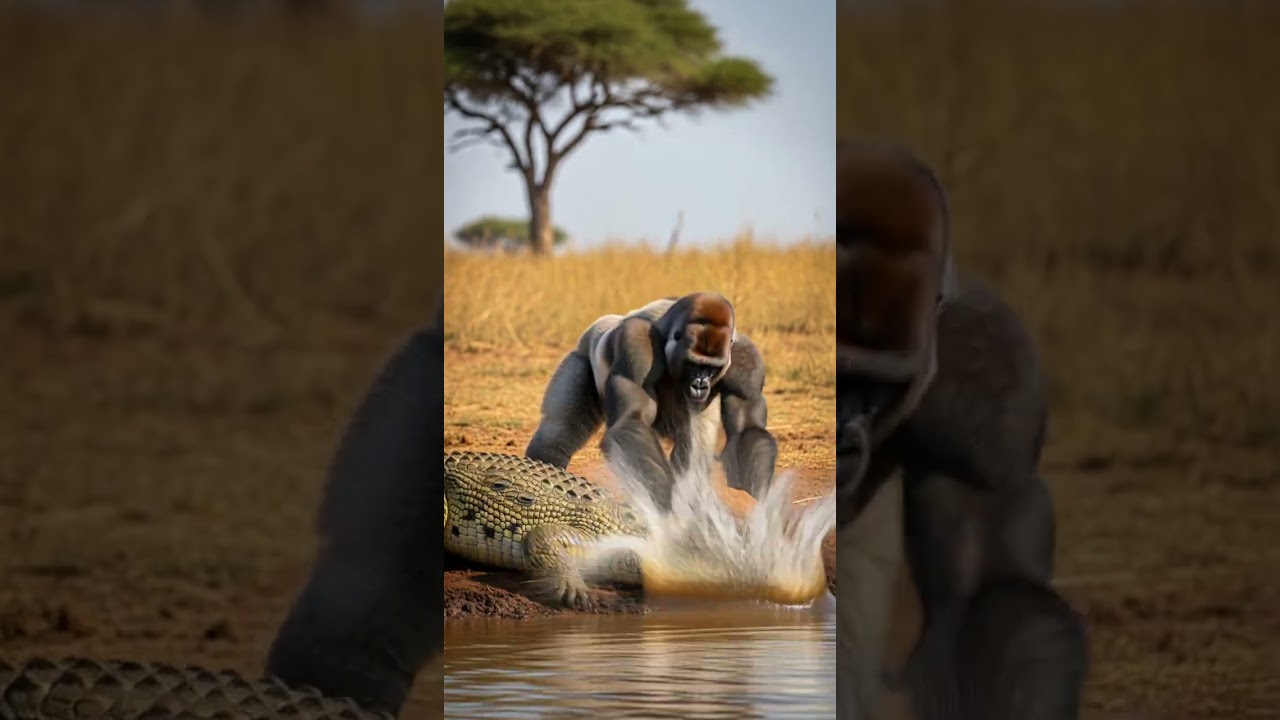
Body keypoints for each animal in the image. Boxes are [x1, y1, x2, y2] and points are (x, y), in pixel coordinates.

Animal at [524, 292, 778, 511]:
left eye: (712, 368)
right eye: (693, 364)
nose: (699, 385)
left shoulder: (747, 360)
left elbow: (746, 431)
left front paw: (757, 504)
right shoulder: (636, 343)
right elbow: (632, 419)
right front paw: (667, 503)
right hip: (581, 356)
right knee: (557, 432)